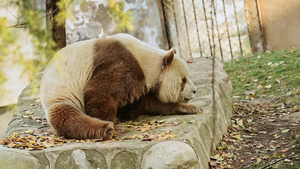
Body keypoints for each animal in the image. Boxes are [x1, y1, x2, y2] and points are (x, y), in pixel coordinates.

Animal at [39, 33, 199, 139]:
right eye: (183, 80)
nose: (194, 91)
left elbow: (152, 102)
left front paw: (189, 108)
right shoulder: (122, 64)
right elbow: (98, 92)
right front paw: (115, 125)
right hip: (61, 92)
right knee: (67, 115)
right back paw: (106, 128)